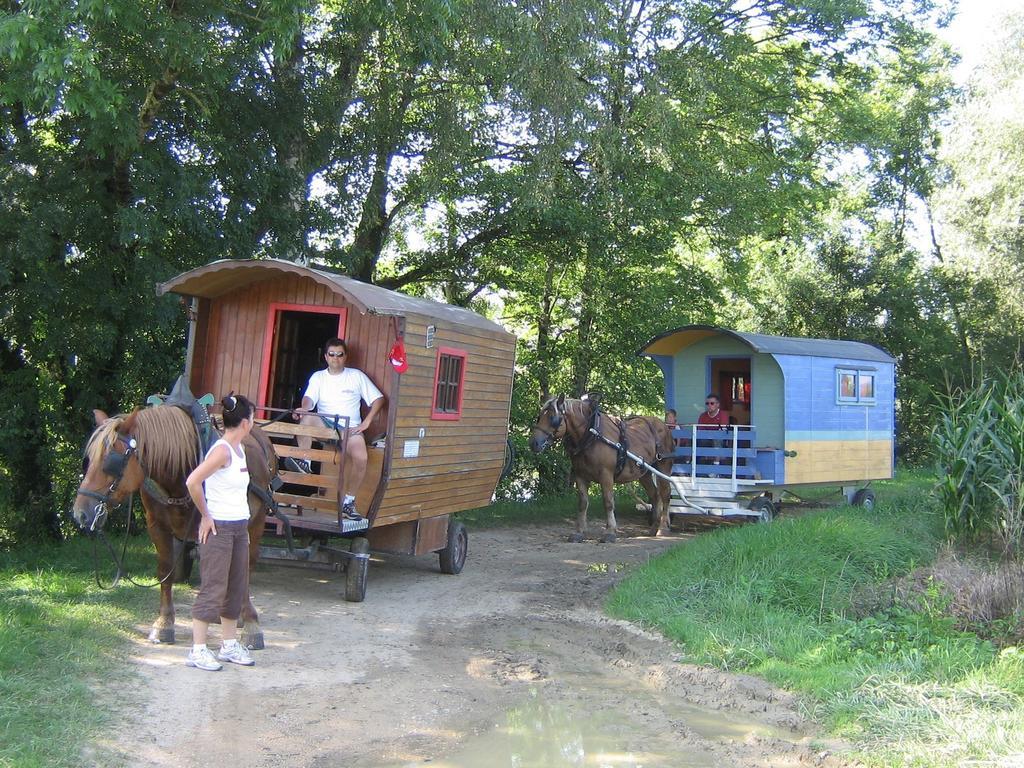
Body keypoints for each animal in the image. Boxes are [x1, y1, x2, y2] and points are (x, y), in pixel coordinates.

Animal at [71, 409, 276, 651]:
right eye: (88, 459)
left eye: (110, 461)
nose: (81, 514)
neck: (180, 475)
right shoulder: (157, 526)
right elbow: (165, 570)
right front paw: (164, 623)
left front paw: (251, 625)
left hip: (255, 521)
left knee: (246, 565)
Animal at [532, 393, 675, 544]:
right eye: (539, 417)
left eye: (553, 418)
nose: (534, 443)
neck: (591, 434)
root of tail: (663, 425)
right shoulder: (580, 475)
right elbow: (582, 503)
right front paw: (579, 532)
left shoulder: (606, 474)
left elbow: (608, 502)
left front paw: (610, 532)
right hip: (644, 473)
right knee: (655, 495)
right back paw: (654, 527)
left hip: (663, 467)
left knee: (665, 494)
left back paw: (663, 528)